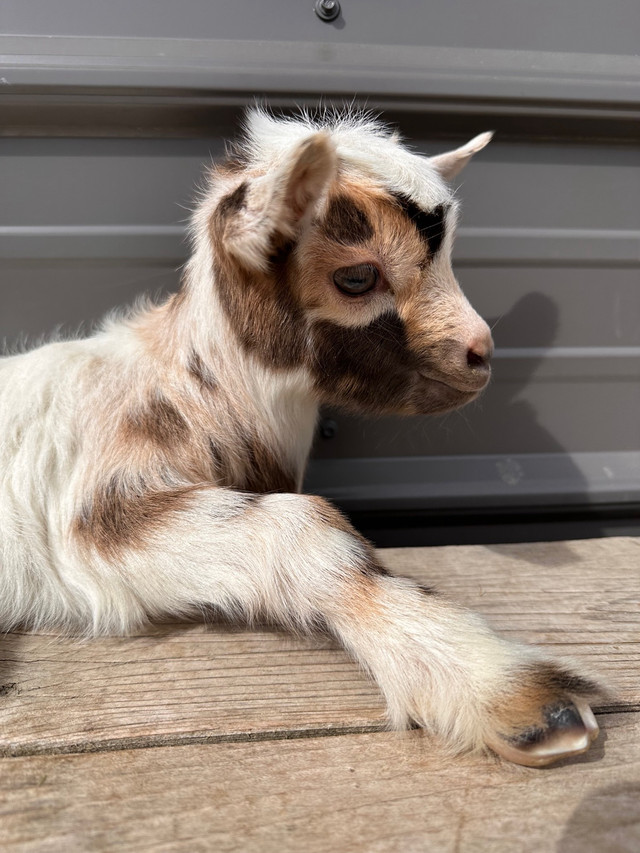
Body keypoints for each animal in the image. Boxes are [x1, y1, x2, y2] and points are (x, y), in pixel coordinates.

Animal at [0, 108, 604, 764]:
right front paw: (507, 691)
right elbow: (301, 523)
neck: (181, 387)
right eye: (359, 276)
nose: (482, 352)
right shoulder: (94, 511)